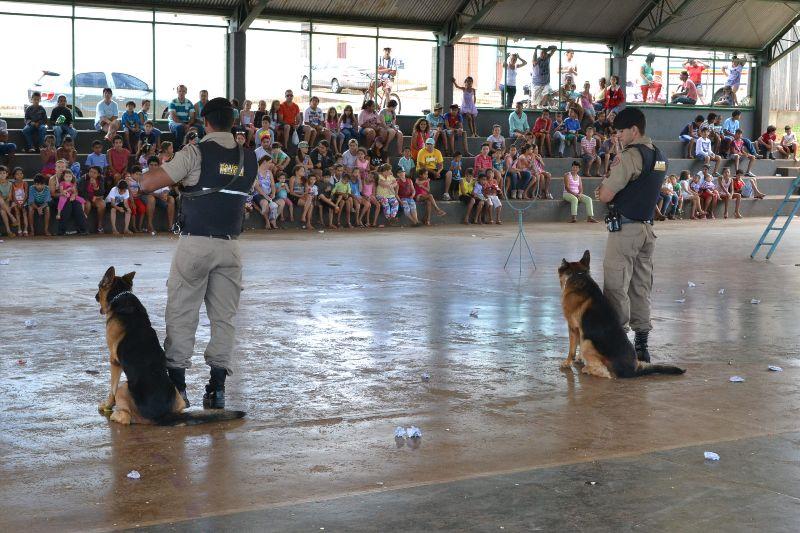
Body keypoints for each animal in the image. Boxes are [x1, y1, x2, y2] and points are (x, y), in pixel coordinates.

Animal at [94, 266, 244, 424]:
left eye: (99, 286)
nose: (95, 296)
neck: (120, 295)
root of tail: (163, 415)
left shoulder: (114, 362)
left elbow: (111, 390)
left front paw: (107, 405)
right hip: (177, 396)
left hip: (124, 386)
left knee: (125, 417)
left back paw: (114, 415)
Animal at [560, 250, 684, 378]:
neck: (579, 275)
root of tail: (634, 370)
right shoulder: (580, 330)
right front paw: (579, 359)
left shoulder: (573, 327)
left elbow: (572, 349)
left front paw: (568, 362)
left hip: (587, 342)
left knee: (605, 373)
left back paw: (588, 369)